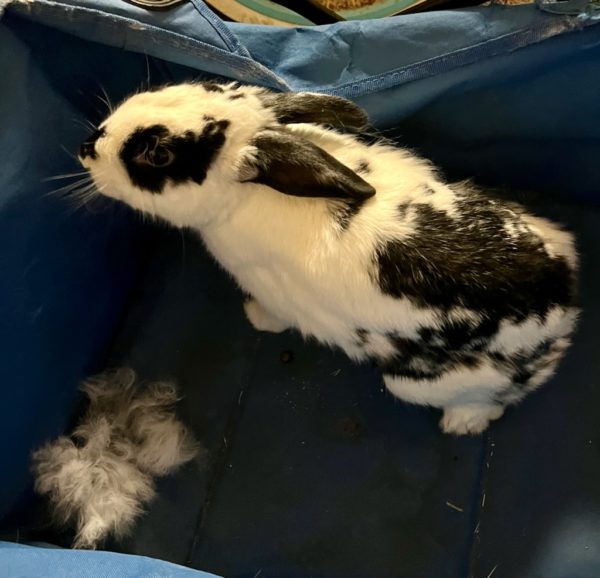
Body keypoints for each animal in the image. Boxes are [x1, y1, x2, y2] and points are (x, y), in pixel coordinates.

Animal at [77, 80, 580, 432]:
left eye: (159, 155)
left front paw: (254, 317)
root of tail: (564, 312)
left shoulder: (272, 289)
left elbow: (273, 314)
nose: (88, 147)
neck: (246, 197)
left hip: (421, 383)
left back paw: (464, 423)